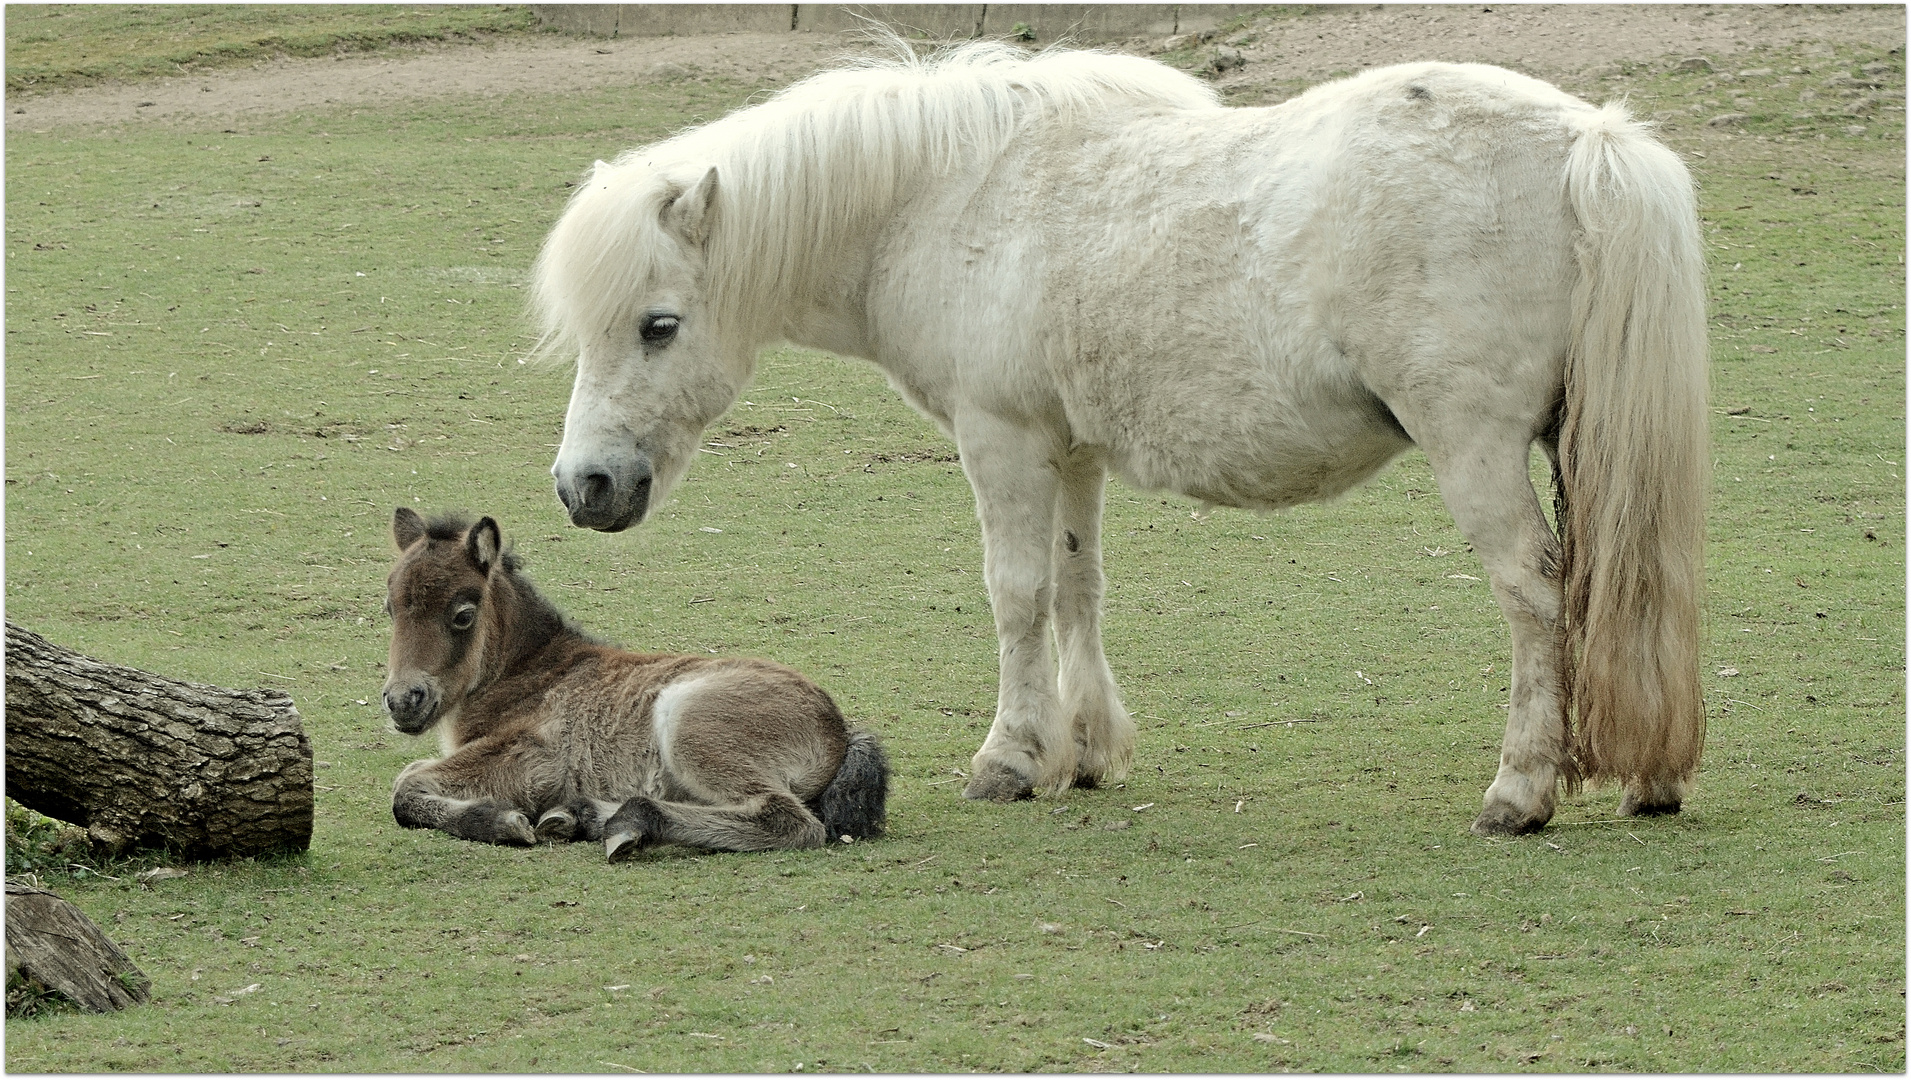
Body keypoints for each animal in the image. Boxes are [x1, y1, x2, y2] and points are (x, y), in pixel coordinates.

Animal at [378, 508, 886, 860]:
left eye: (463, 614)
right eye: (390, 608)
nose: (403, 700)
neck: (530, 670)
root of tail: (839, 729)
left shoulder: (534, 760)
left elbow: (405, 786)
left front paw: (503, 821)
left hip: (690, 726)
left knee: (792, 821)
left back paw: (629, 821)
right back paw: (579, 816)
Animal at [531, 42, 1712, 833]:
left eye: (657, 325)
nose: (585, 484)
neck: (948, 198)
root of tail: (1587, 142)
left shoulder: (1002, 440)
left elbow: (1015, 596)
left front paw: (1010, 759)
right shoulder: (1071, 450)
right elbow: (1075, 589)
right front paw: (1085, 752)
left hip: (1475, 452)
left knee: (1536, 594)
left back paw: (1520, 790)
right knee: (1631, 585)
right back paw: (1651, 780)